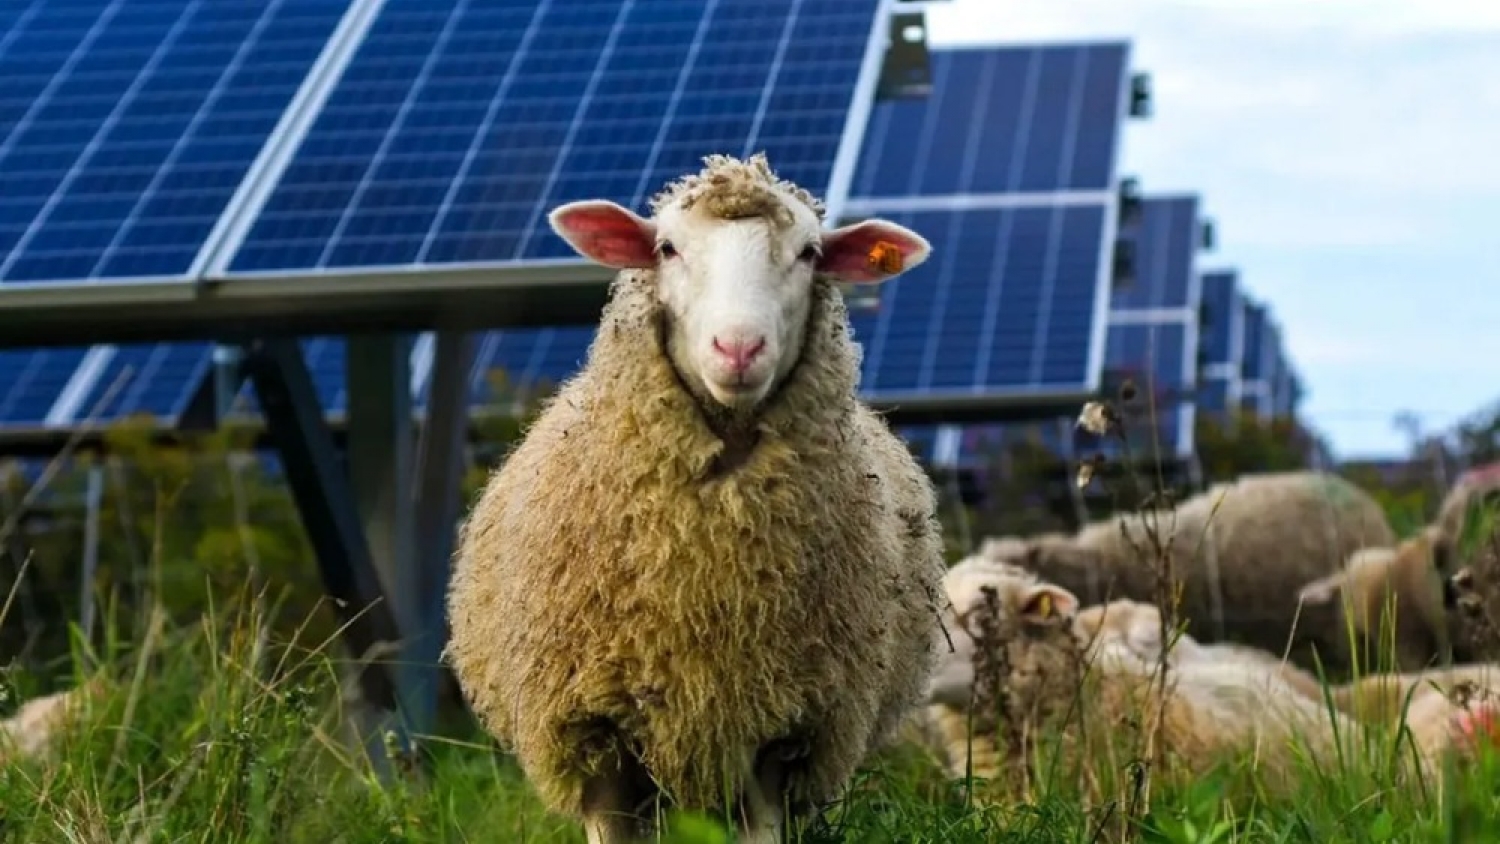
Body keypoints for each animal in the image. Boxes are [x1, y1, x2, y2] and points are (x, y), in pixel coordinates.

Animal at [444, 153, 946, 844]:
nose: (738, 348)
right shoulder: (594, 734)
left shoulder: (781, 732)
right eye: (667, 248)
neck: (703, 574)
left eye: (810, 253)